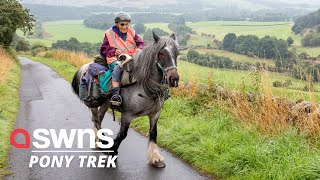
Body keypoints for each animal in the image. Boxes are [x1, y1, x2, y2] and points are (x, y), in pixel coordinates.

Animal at [72, 32, 180, 167]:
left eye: (177, 53)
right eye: (161, 53)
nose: (174, 78)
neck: (143, 87)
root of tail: (86, 67)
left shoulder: (155, 114)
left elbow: (154, 133)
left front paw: (156, 158)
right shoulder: (127, 115)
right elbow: (123, 134)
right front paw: (112, 152)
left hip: (105, 104)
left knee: (99, 118)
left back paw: (99, 141)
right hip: (94, 103)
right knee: (96, 120)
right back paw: (102, 143)